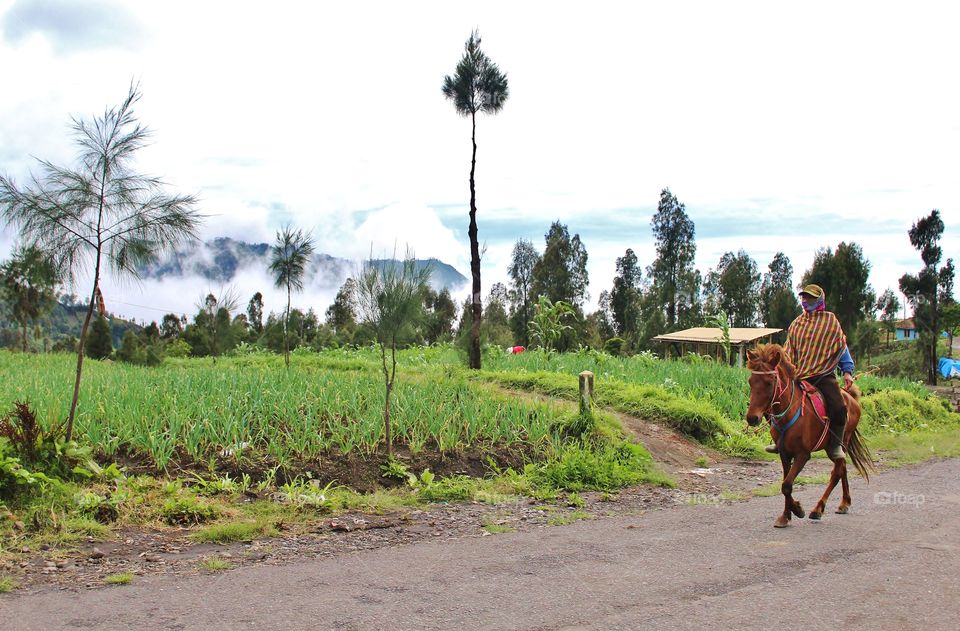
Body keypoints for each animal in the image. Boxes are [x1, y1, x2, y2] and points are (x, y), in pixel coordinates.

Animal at [748, 346, 872, 528]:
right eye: (750, 381)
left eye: (769, 382)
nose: (752, 418)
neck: (790, 412)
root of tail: (850, 396)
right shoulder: (784, 453)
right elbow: (786, 484)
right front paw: (786, 515)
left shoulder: (803, 454)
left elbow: (786, 485)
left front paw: (798, 510)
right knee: (842, 468)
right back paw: (844, 503)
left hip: (842, 441)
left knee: (837, 472)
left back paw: (818, 509)